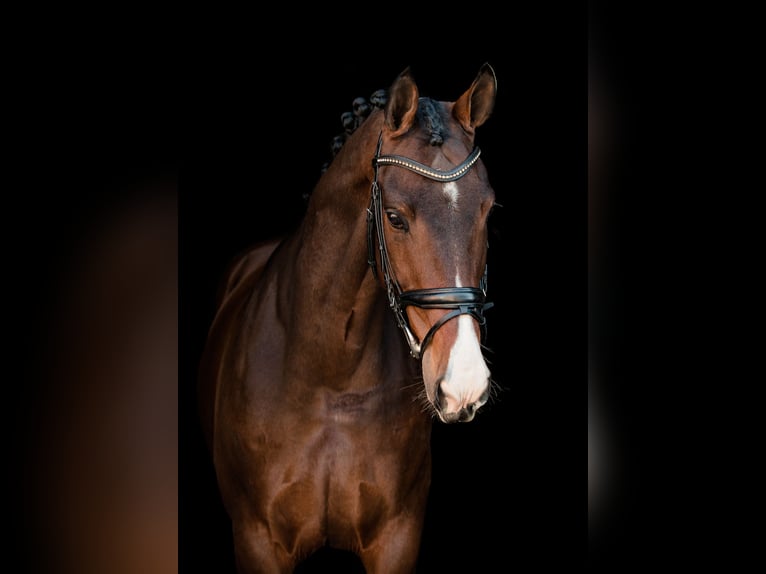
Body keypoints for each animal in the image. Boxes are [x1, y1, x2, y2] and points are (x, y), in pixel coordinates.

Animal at [198, 62, 499, 573]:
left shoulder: (396, 538)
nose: (464, 383)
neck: (330, 375)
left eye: (487, 210)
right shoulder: (257, 540)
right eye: (395, 217)